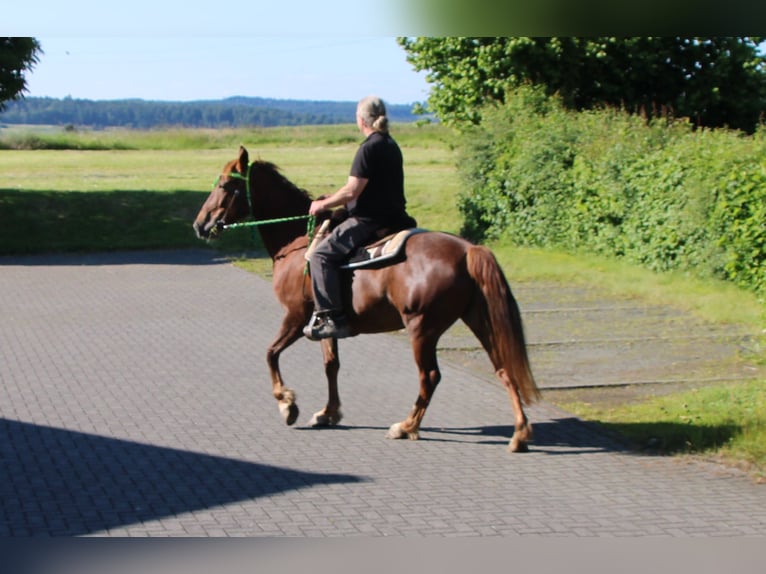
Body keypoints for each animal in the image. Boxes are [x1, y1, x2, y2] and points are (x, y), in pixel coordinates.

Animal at [192, 146, 544, 452]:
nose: (200, 224)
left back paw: (406, 426)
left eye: (225, 185)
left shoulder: (295, 316)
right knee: (504, 369)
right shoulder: (323, 322)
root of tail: (468, 250)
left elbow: (270, 353)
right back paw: (519, 433)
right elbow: (331, 364)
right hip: (479, 319)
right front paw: (328, 412)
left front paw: (287, 403)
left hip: (422, 328)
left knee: (429, 377)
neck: (297, 241)